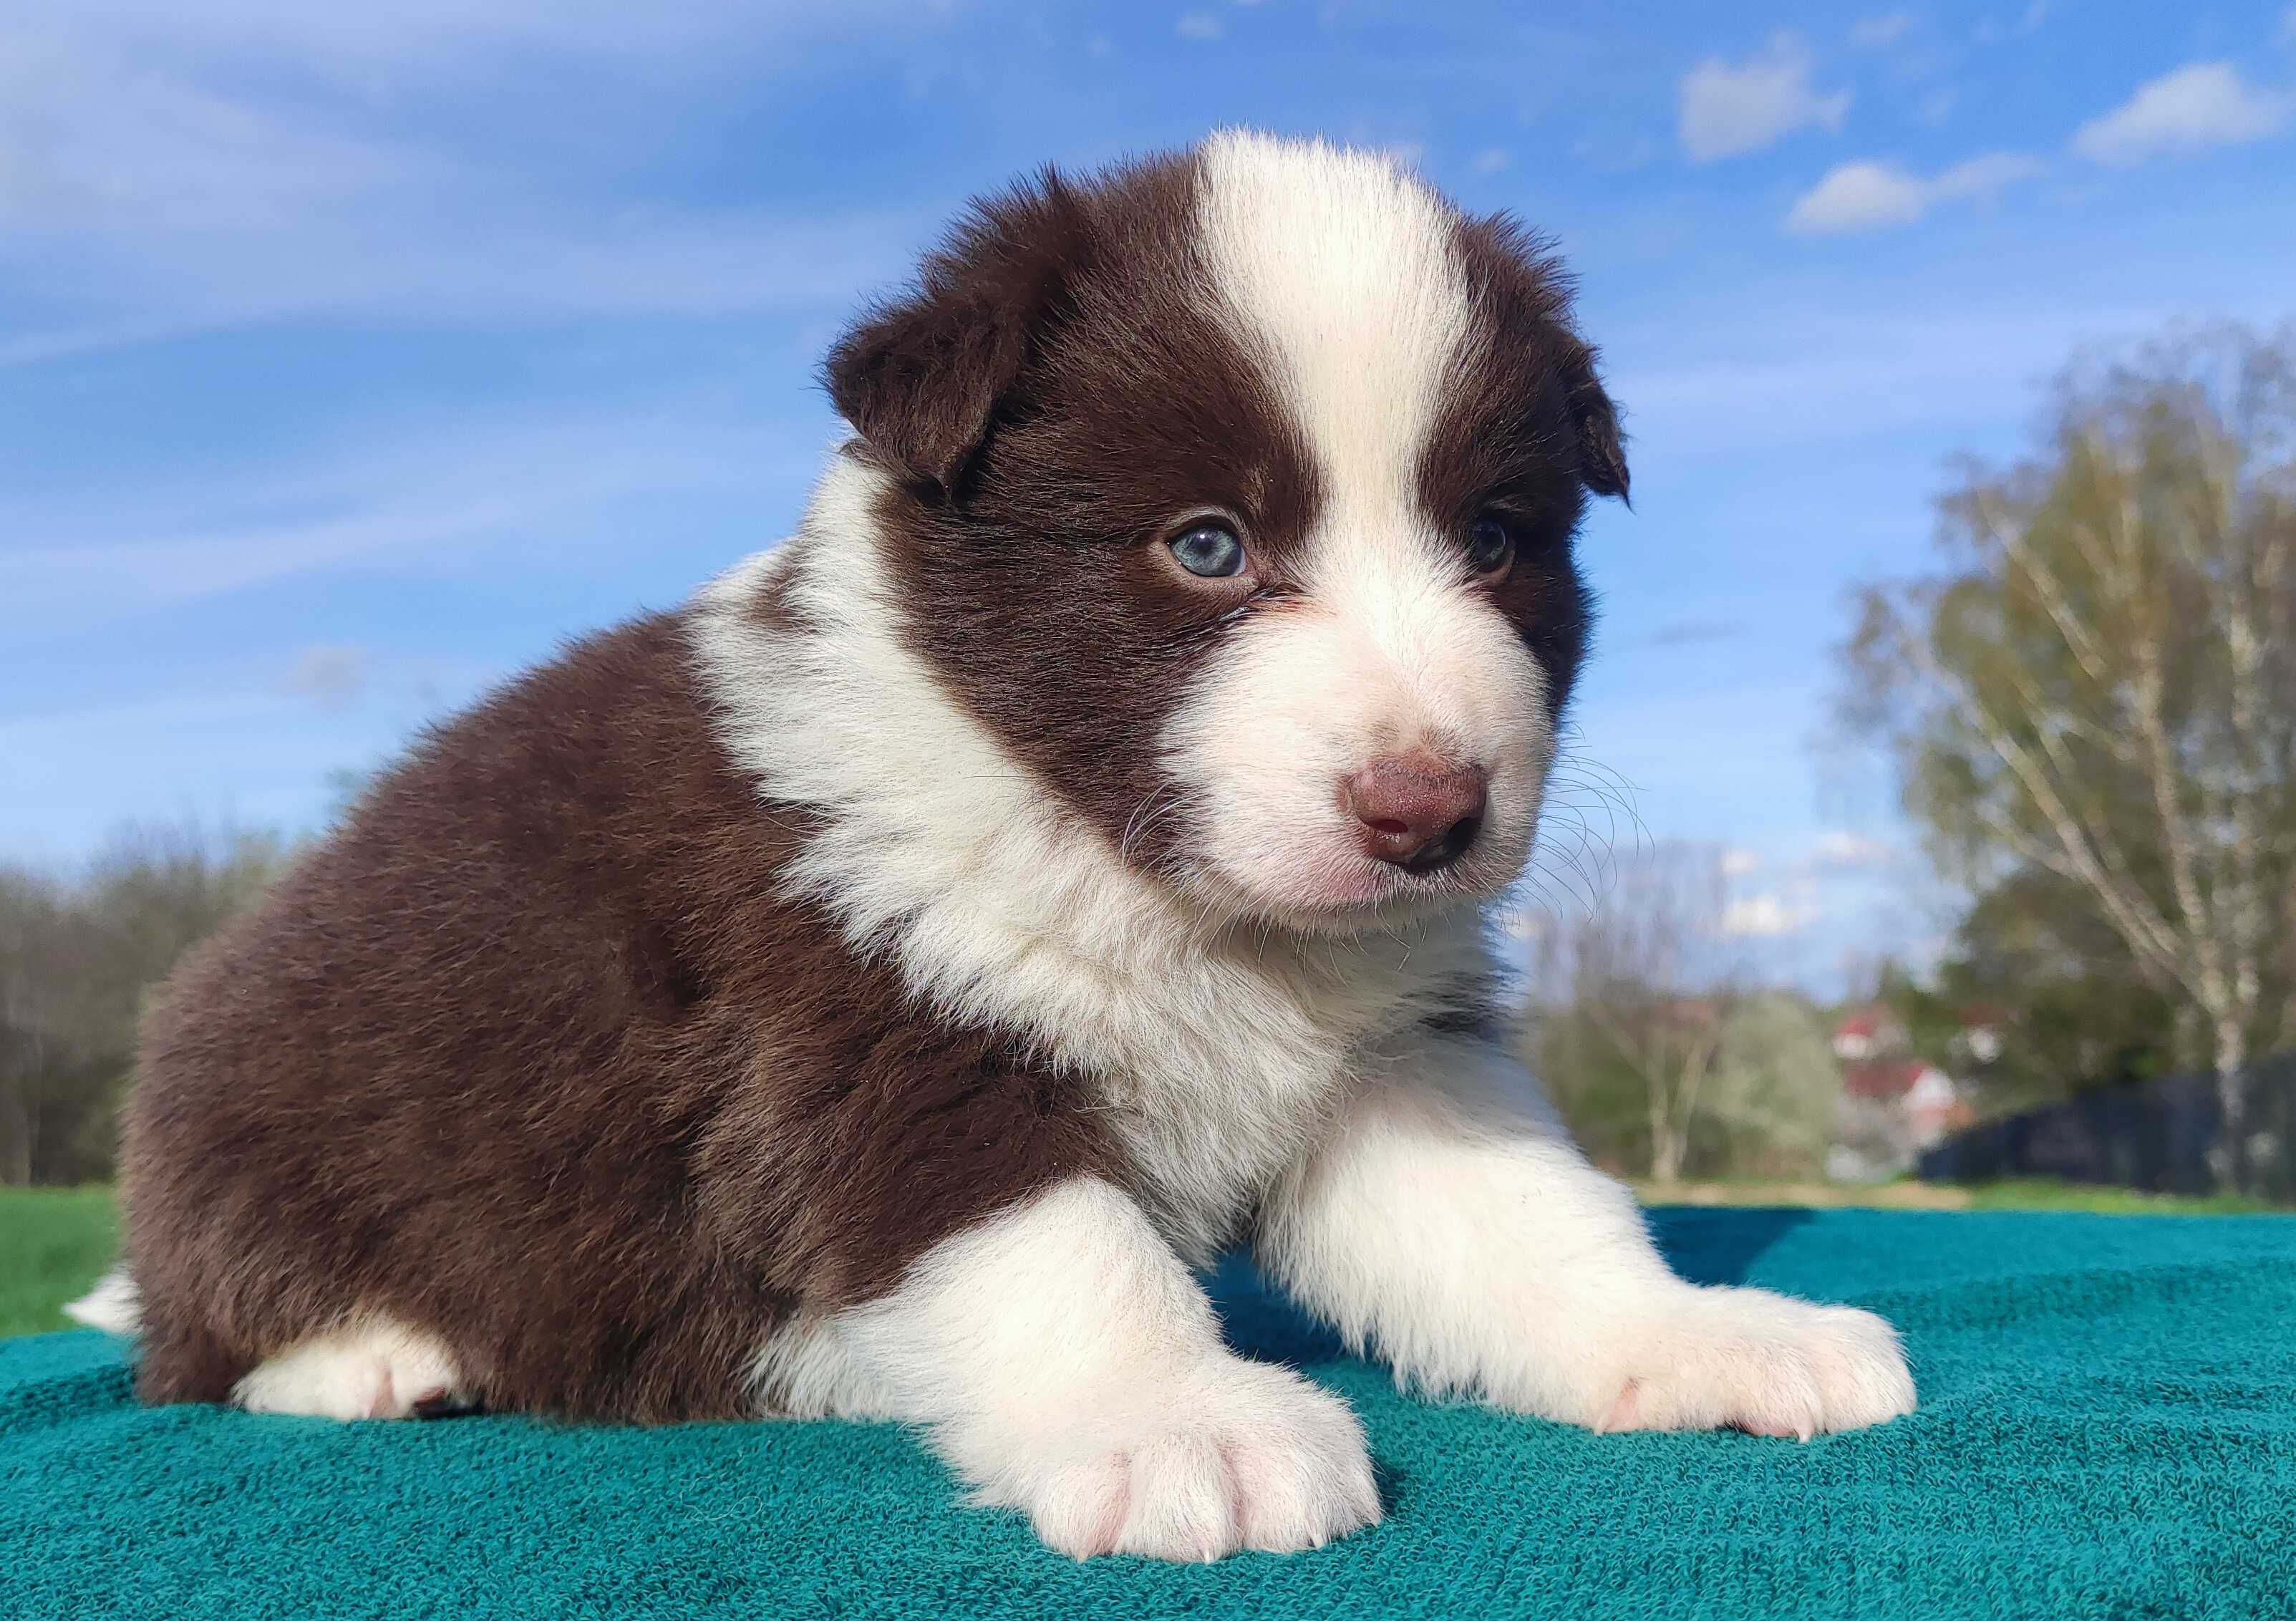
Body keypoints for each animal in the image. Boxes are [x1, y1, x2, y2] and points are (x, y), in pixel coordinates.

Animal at [84, 135, 1919, 1552]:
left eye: (1493, 540)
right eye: (1206, 544)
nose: (1431, 811)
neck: (1158, 886)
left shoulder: (1392, 1067)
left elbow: (1528, 1219)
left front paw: (1696, 1333)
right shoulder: (860, 1034)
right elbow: (1055, 1245)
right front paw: (1182, 1426)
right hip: (246, 1101)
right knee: (192, 1343)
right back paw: (370, 1354)